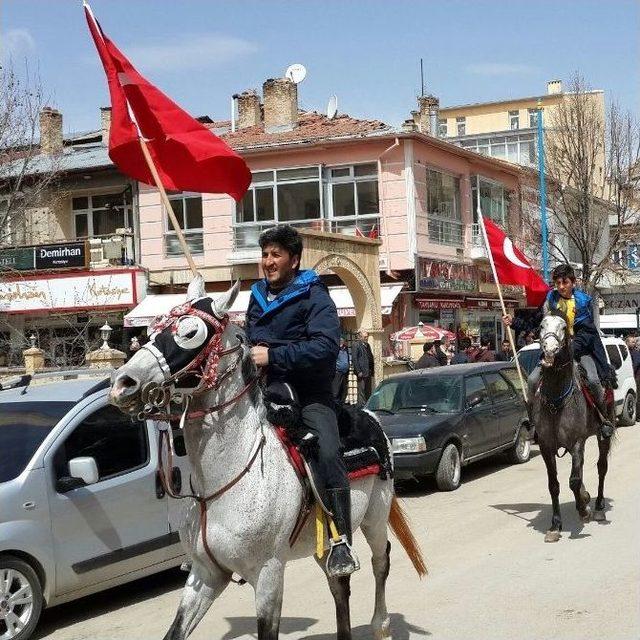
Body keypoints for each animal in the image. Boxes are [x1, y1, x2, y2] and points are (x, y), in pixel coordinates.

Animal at [110, 278, 424, 640]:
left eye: (190, 333)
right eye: (154, 327)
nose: (122, 383)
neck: (223, 483)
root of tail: (370, 415)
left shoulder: (268, 575)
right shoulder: (205, 574)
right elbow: (174, 632)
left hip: (375, 514)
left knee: (380, 561)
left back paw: (381, 624)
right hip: (326, 542)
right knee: (339, 582)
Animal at [532, 312, 612, 544]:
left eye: (563, 327)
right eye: (541, 326)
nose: (549, 349)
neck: (557, 399)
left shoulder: (577, 442)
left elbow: (574, 481)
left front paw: (583, 511)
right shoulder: (546, 447)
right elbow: (554, 485)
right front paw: (555, 526)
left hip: (603, 434)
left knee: (601, 467)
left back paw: (598, 507)